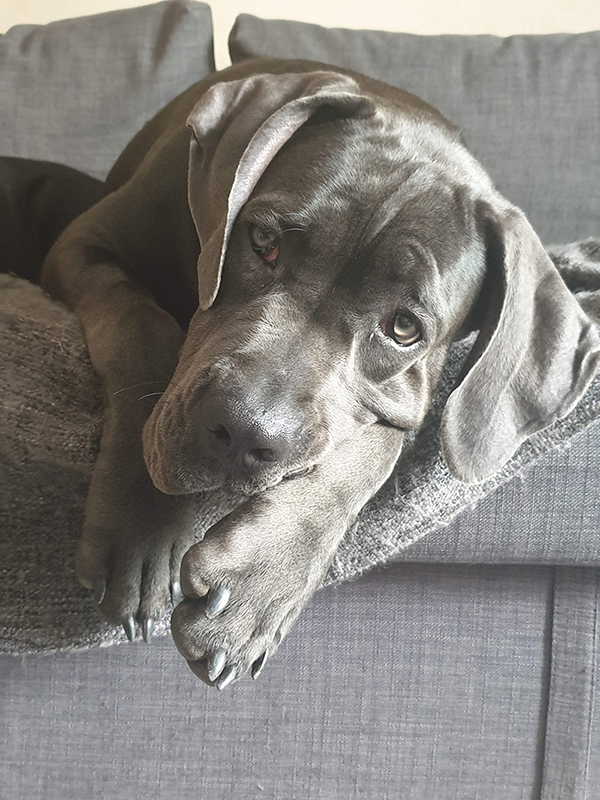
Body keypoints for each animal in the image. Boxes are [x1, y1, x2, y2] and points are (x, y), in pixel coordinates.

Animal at [41, 56, 600, 688]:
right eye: (263, 240)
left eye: (403, 328)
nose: (243, 433)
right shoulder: (85, 245)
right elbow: (142, 323)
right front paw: (141, 523)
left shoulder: (405, 396)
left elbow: (373, 450)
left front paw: (259, 583)